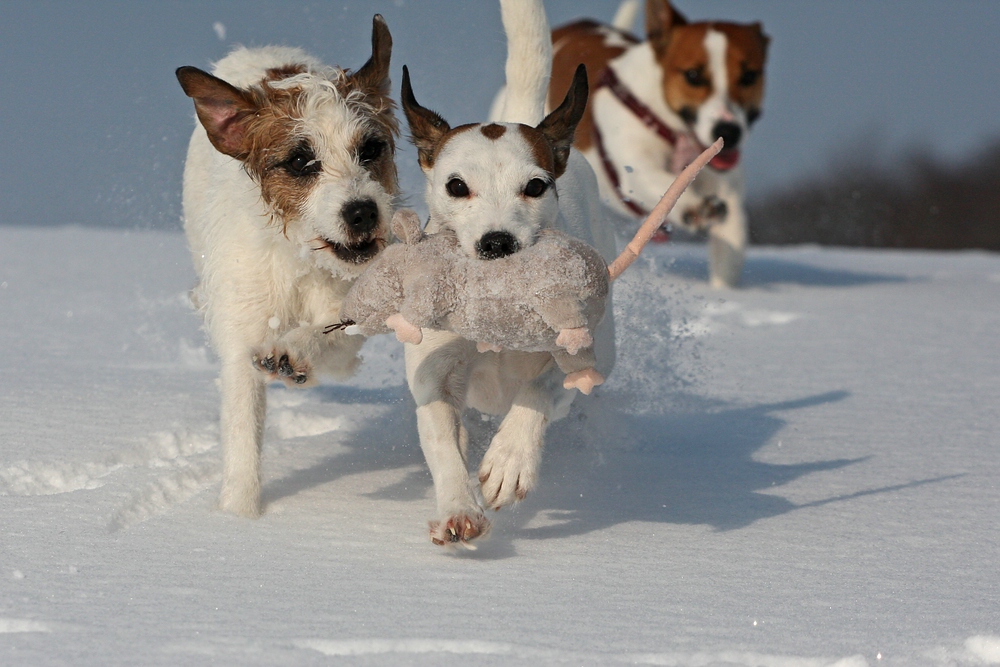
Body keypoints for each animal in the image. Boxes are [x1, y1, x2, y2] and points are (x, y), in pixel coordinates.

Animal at [176, 14, 398, 516]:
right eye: (300, 161)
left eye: (371, 149)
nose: (362, 212)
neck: (299, 260)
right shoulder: (241, 337)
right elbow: (242, 430)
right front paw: (239, 517)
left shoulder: (349, 326)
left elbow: (327, 336)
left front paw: (294, 352)